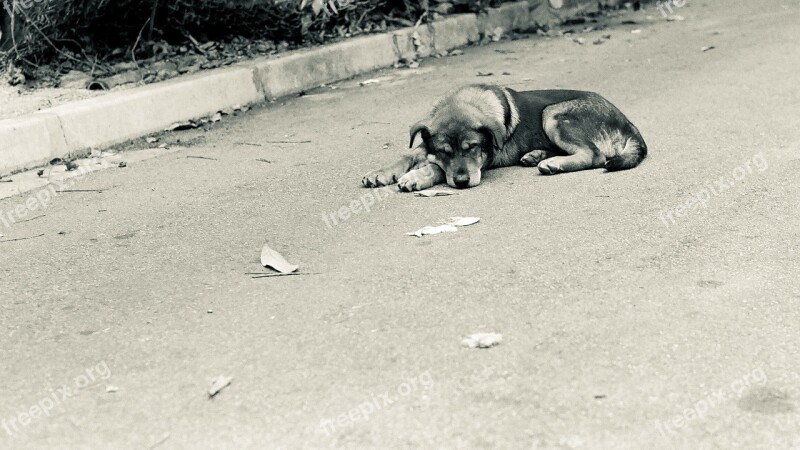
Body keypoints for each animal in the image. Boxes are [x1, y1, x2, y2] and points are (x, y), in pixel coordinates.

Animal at [360, 84, 648, 192]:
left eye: (473, 148)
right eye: (444, 151)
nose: (462, 183)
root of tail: (628, 122)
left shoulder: (484, 160)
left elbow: (437, 169)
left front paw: (417, 177)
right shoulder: (426, 144)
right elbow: (408, 154)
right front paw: (381, 172)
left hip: (552, 114)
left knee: (594, 155)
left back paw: (552, 163)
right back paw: (536, 155)